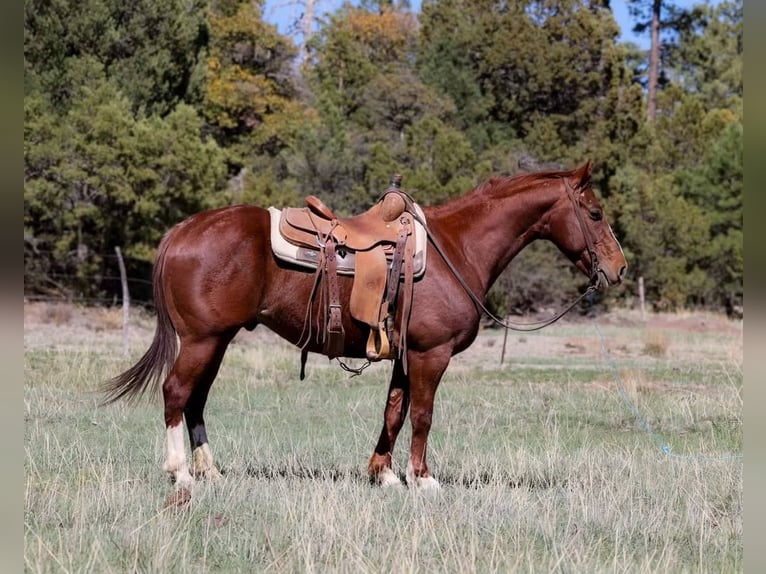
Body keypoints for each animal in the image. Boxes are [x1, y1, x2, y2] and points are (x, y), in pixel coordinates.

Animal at [104, 160, 627, 490]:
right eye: (595, 213)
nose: (618, 268)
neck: (455, 249)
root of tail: (181, 231)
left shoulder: (406, 355)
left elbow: (393, 412)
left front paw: (384, 473)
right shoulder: (431, 354)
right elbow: (423, 415)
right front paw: (424, 479)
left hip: (216, 341)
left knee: (196, 400)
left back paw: (210, 472)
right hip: (201, 339)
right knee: (176, 393)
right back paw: (180, 473)